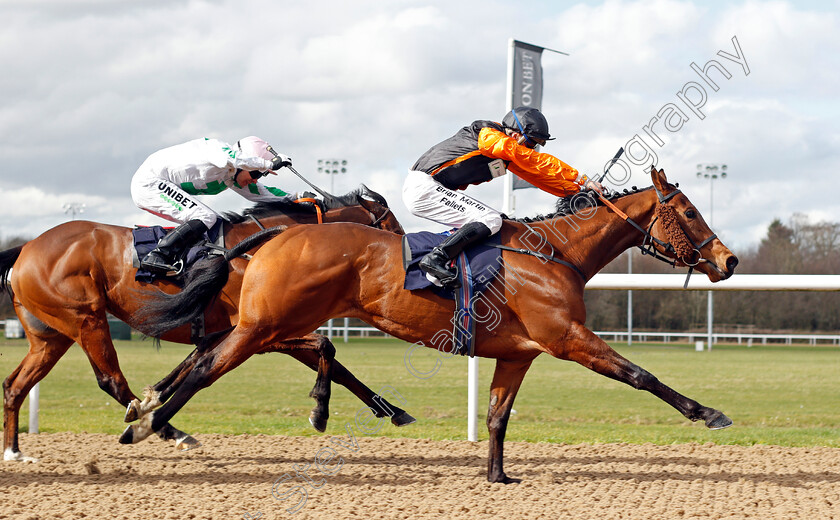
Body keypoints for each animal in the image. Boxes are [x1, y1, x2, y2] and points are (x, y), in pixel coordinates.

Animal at [0, 185, 414, 462]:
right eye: (392, 225)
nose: (407, 260)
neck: (259, 248)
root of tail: (27, 248)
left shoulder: (233, 330)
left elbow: (190, 365)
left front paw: (392, 410)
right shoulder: (262, 330)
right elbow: (331, 354)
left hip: (50, 335)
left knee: (16, 385)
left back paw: (14, 451)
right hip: (85, 319)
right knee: (110, 380)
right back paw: (169, 431)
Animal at [126, 168, 740, 484]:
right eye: (689, 212)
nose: (728, 260)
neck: (553, 252)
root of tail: (278, 233)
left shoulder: (519, 353)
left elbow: (497, 417)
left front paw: (497, 477)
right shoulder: (566, 339)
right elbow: (640, 375)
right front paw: (708, 412)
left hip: (268, 324)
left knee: (226, 356)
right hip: (264, 324)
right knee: (207, 366)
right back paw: (148, 423)